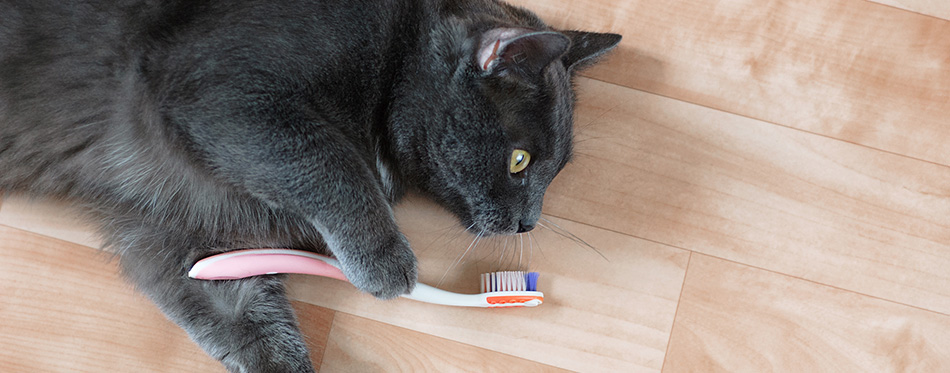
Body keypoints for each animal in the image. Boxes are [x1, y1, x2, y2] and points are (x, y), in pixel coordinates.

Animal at [0, 0, 620, 368]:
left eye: (555, 170)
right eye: (520, 161)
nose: (529, 222)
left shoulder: (185, 234)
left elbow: (242, 313)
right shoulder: (227, 94)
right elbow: (328, 162)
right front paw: (385, 262)